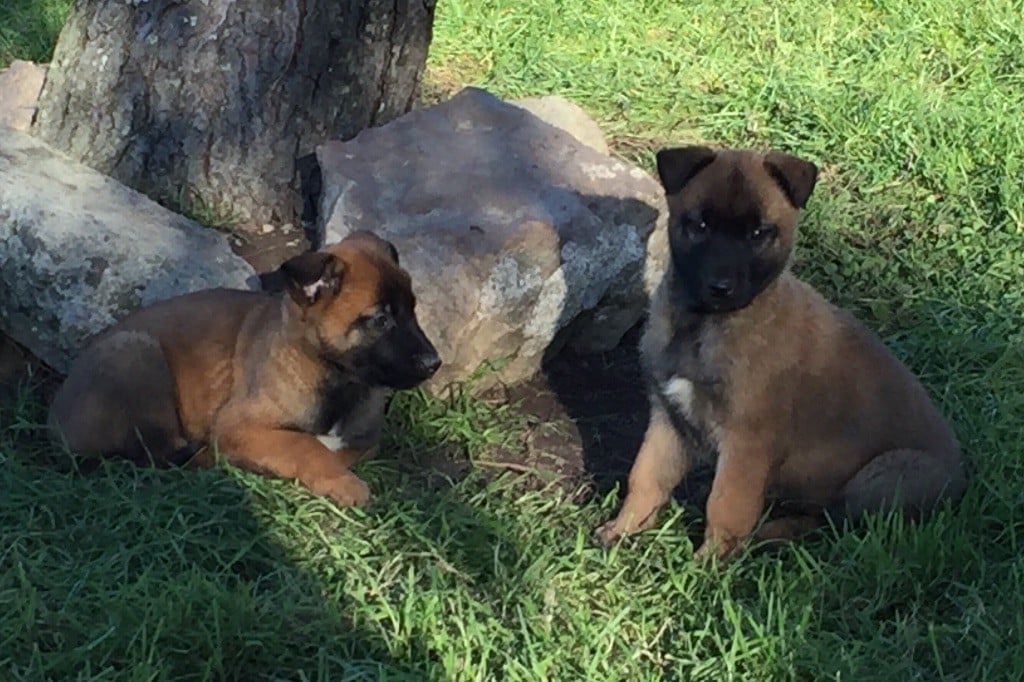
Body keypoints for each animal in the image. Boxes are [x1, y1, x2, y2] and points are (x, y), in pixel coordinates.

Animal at [48, 231, 440, 501]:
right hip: (135, 350)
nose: (434, 363)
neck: (337, 379)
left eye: (412, 310)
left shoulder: (365, 440)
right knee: (161, 453)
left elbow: (335, 451)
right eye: (380, 320)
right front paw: (341, 482)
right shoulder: (238, 424)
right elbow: (304, 444)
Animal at [598, 144, 962, 557]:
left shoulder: (747, 439)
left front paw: (711, 561)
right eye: (701, 226)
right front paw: (625, 529)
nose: (720, 287)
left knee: (836, 523)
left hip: (885, 476)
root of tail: (962, 484)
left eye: (758, 233)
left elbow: (726, 503)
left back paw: (769, 534)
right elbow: (646, 476)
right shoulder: (668, 417)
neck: (702, 326)